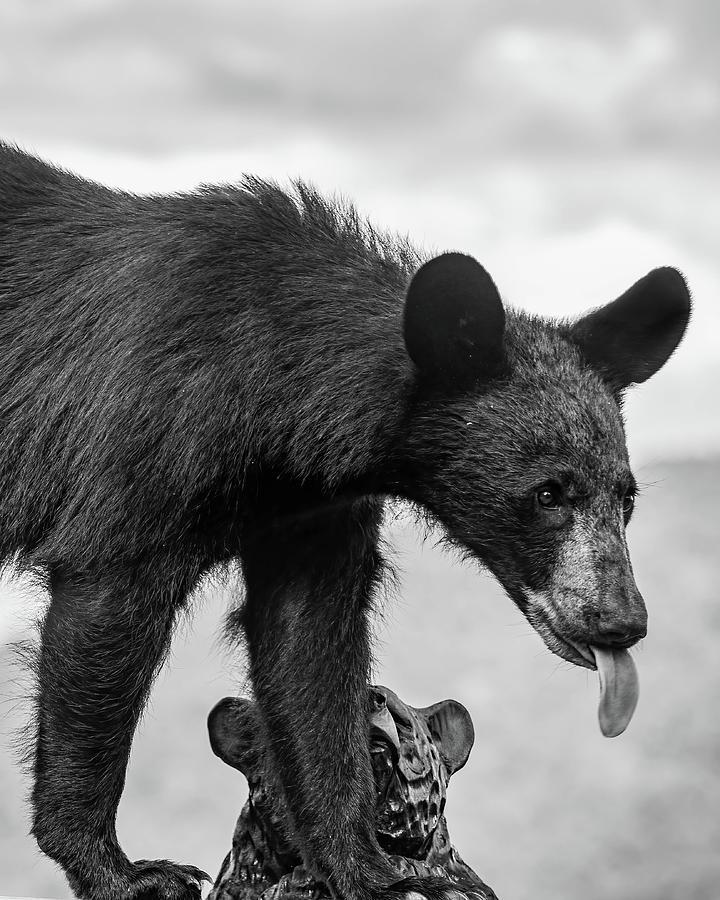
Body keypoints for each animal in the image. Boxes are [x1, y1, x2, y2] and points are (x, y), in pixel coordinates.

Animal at [0, 142, 688, 900]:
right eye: (546, 494)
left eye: (625, 499)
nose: (622, 622)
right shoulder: (146, 442)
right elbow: (106, 616)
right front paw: (125, 872)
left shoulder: (313, 508)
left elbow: (309, 648)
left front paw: (371, 869)